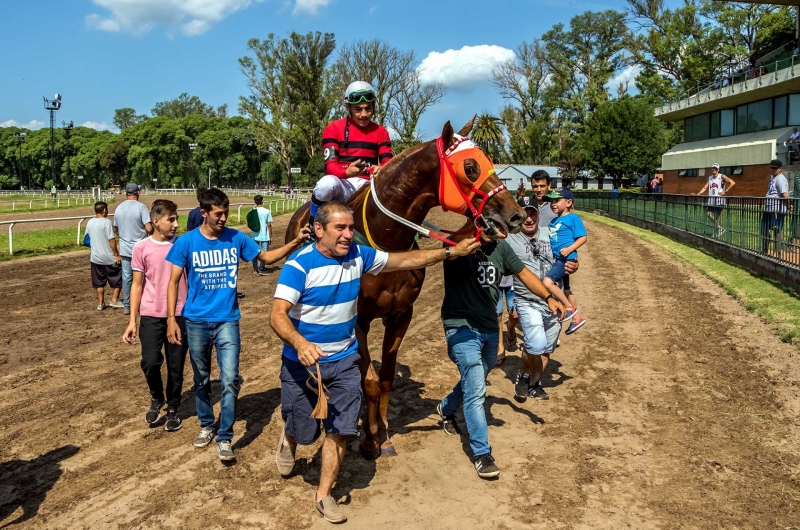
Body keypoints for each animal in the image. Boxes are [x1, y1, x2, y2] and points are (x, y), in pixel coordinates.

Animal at [288, 117, 524, 456]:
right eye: (470, 167)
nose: (516, 215)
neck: (384, 239)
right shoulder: (357, 320)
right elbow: (369, 381)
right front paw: (369, 440)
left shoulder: (401, 314)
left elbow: (386, 378)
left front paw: (383, 434)